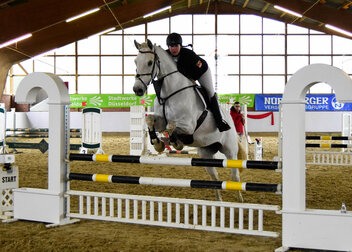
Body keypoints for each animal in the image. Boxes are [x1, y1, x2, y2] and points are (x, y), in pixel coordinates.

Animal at [133, 39, 242, 201]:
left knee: (235, 176)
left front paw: (176, 143)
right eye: (135, 61)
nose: (137, 90)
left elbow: (171, 126)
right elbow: (150, 121)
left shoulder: (188, 126)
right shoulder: (160, 121)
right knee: (214, 177)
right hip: (206, 152)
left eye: (149, 62)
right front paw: (158, 144)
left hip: (230, 151)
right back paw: (219, 202)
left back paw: (240, 200)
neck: (169, 92)